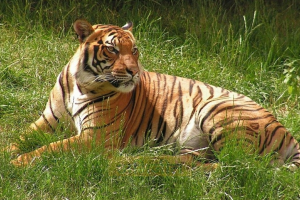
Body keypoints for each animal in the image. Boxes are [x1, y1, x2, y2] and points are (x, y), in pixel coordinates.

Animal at [9, 19, 300, 170]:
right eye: (113, 49)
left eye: (135, 49)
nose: (134, 72)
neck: (82, 83)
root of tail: (285, 130)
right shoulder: (47, 121)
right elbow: (18, 137)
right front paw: (8, 153)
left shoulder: (96, 136)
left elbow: (50, 148)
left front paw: (18, 162)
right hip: (196, 143)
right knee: (189, 159)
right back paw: (139, 161)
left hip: (217, 110)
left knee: (232, 165)